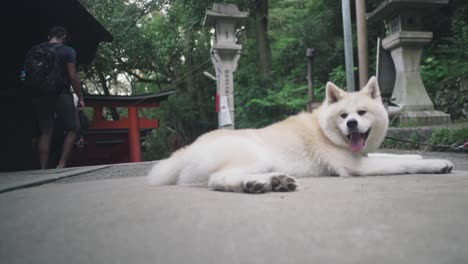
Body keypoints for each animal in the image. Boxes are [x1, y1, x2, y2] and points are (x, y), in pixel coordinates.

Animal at [147, 76, 454, 194]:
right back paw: (257, 184)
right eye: (344, 116)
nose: (352, 124)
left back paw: (274, 181)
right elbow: (399, 162)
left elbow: (395, 154)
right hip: (255, 154)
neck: (325, 130)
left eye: (362, 113)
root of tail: (186, 150)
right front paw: (437, 163)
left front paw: (418, 153)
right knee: (218, 180)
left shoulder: (364, 154)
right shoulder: (355, 166)